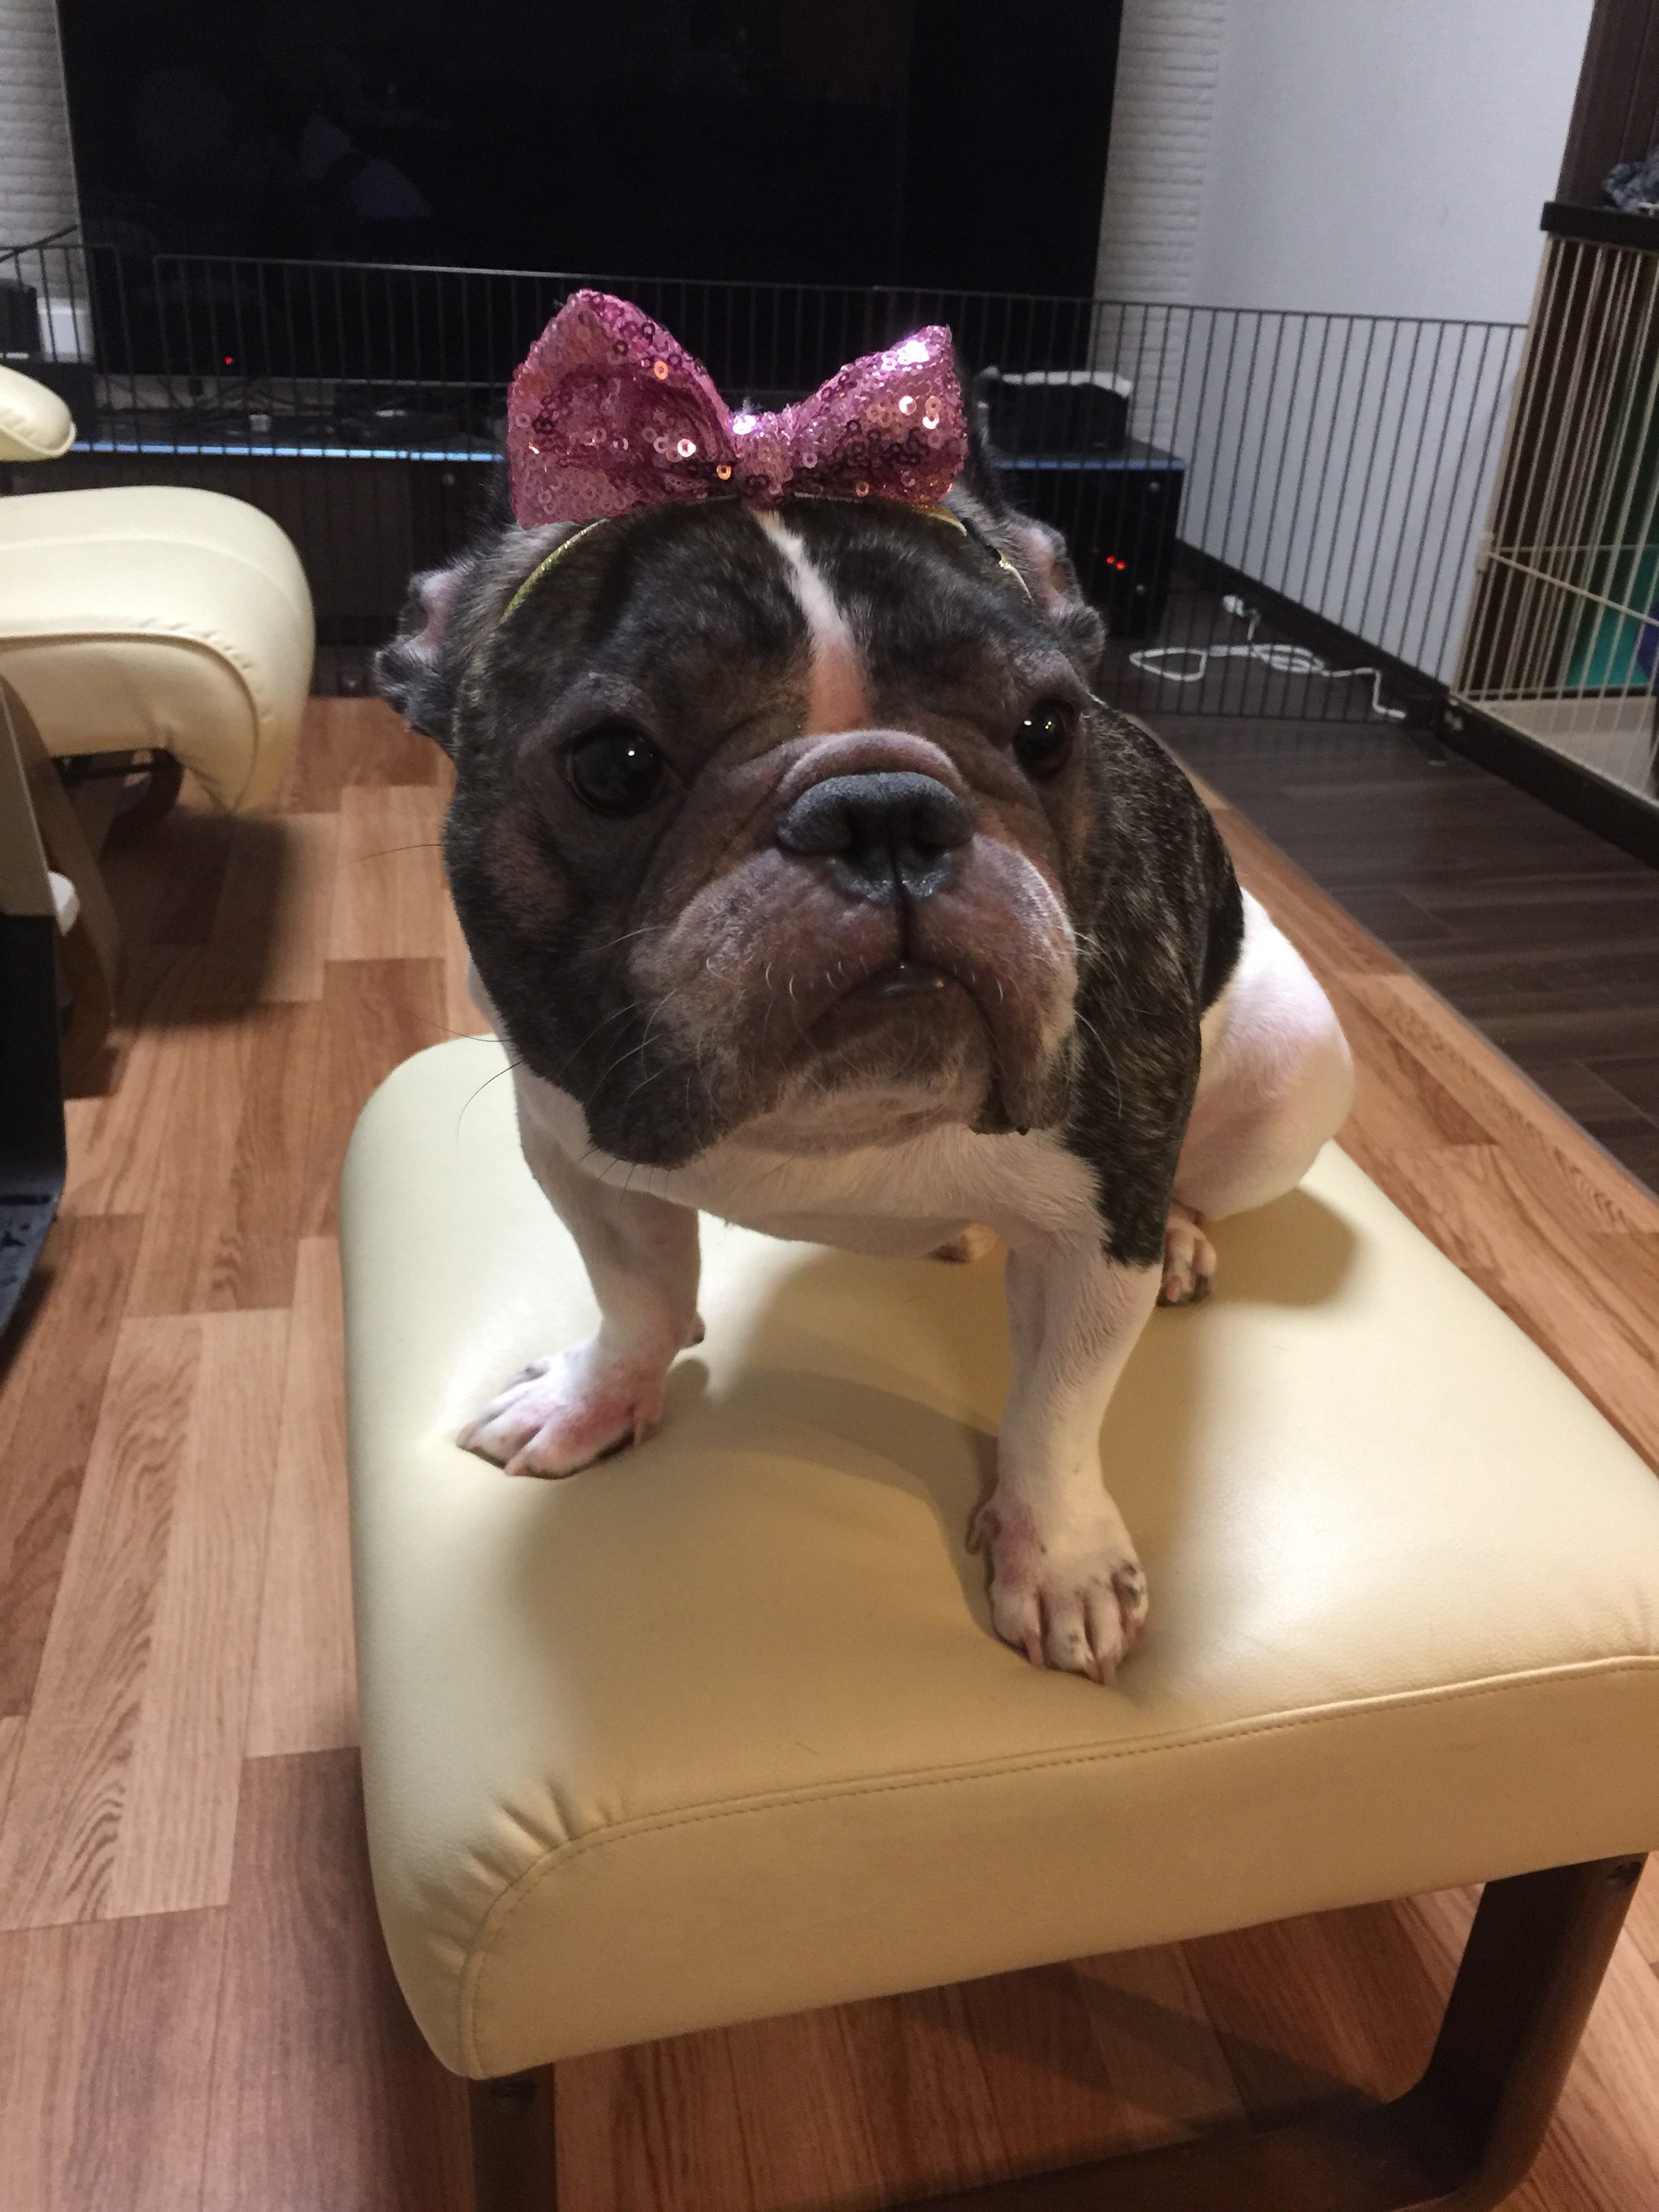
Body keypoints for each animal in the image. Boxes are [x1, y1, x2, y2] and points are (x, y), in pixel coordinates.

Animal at [377, 295, 1353, 1685]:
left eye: (1048, 729)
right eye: (614, 765)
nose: (883, 807)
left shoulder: (1092, 1223)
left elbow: (1057, 1405)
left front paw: (1057, 1555)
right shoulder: (575, 1147)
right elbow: (636, 1295)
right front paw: (596, 1396)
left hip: (1291, 1067)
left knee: (1207, 1173)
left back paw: (1179, 1234)